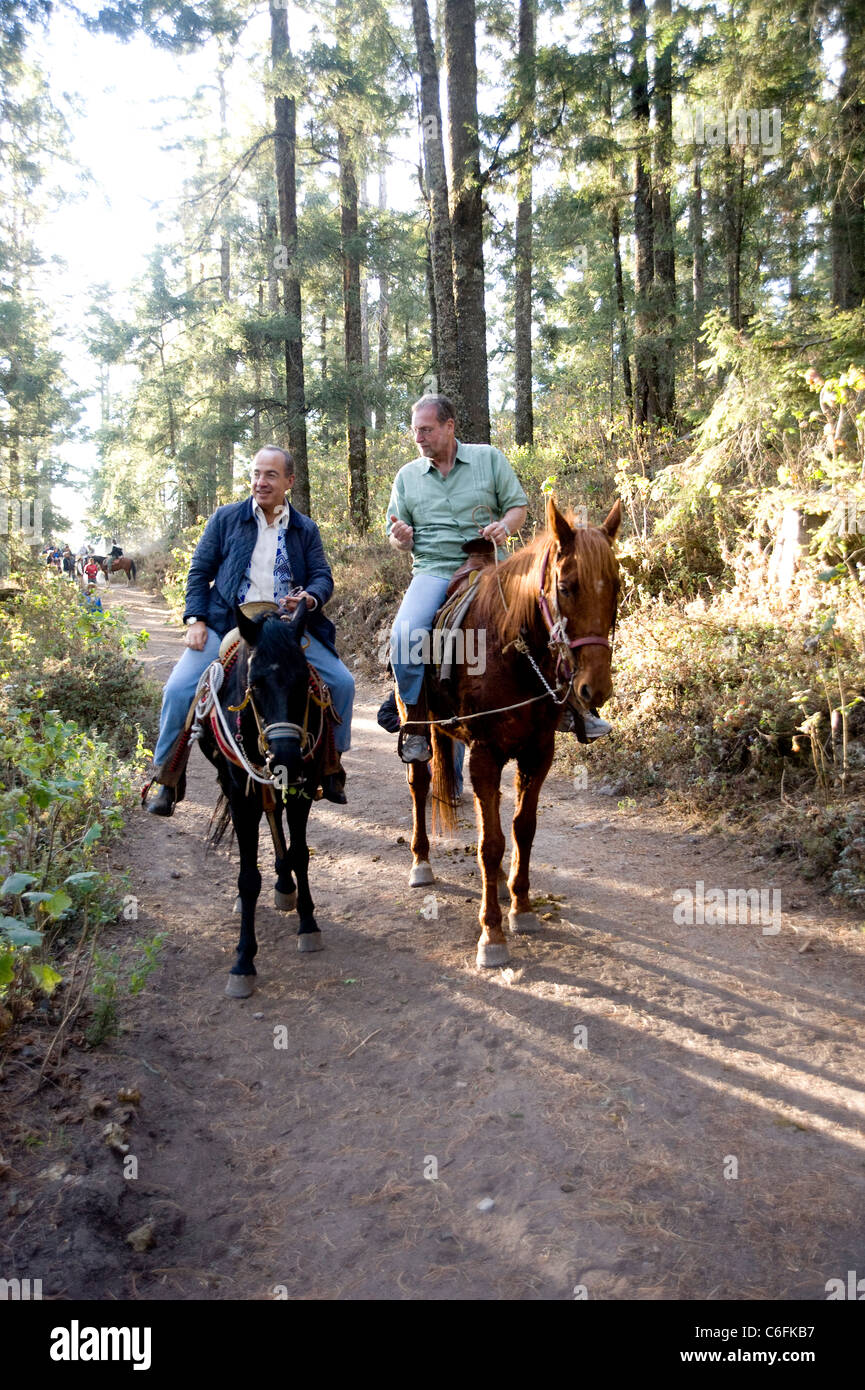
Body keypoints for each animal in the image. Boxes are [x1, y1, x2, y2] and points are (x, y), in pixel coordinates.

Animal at [196, 603, 328, 995]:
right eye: (254, 684)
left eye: (302, 681)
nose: (284, 756)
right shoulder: (242, 798)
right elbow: (247, 877)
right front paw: (243, 961)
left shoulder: (303, 788)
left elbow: (301, 854)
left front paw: (308, 925)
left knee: (275, 816)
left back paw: (285, 884)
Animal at [403, 497, 620, 967]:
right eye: (567, 586)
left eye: (615, 584)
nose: (594, 689)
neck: (510, 651)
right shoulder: (484, 754)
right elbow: (490, 843)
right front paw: (492, 934)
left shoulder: (537, 752)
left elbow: (522, 829)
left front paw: (521, 907)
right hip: (418, 726)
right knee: (419, 783)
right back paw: (421, 862)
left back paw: (501, 883)